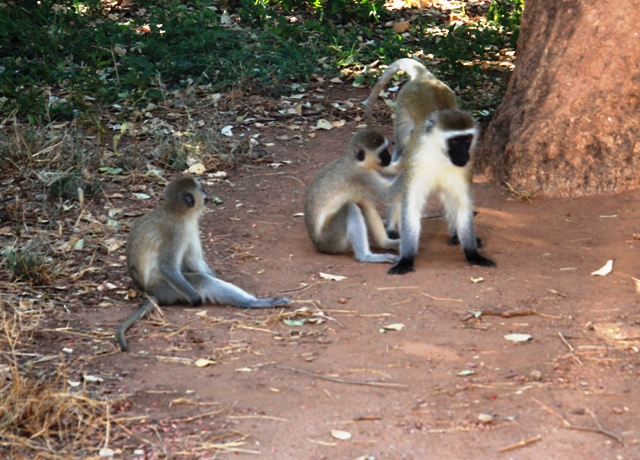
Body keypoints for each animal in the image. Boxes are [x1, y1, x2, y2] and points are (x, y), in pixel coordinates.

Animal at [117, 174, 290, 350]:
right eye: (201, 189)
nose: (207, 194)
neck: (176, 212)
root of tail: (150, 292)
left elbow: (194, 259)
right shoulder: (176, 231)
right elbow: (167, 267)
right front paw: (195, 298)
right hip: (166, 289)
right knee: (201, 280)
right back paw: (255, 302)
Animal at [304, 129, 400, 264]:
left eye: (386, 149)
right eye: (382, 152)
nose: (389, 157)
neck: (356, 162)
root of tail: (318, 245)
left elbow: (390, 170)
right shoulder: (360, 176)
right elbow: (388, 194)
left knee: (363, 201)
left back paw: (385, 243)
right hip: (332, 239)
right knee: (351, 208)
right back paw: (365, 256)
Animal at [364, 57, 496, 274]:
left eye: (467, 139)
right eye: (455, 141)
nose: (464, 155)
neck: (439, 155)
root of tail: (424, 78)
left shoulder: (465, 169)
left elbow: (462, 203)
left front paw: (472, 253)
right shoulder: (416, 162)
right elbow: (411, 205)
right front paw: (406, 258)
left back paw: (455, 234)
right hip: (402, 117)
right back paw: (391, 229)